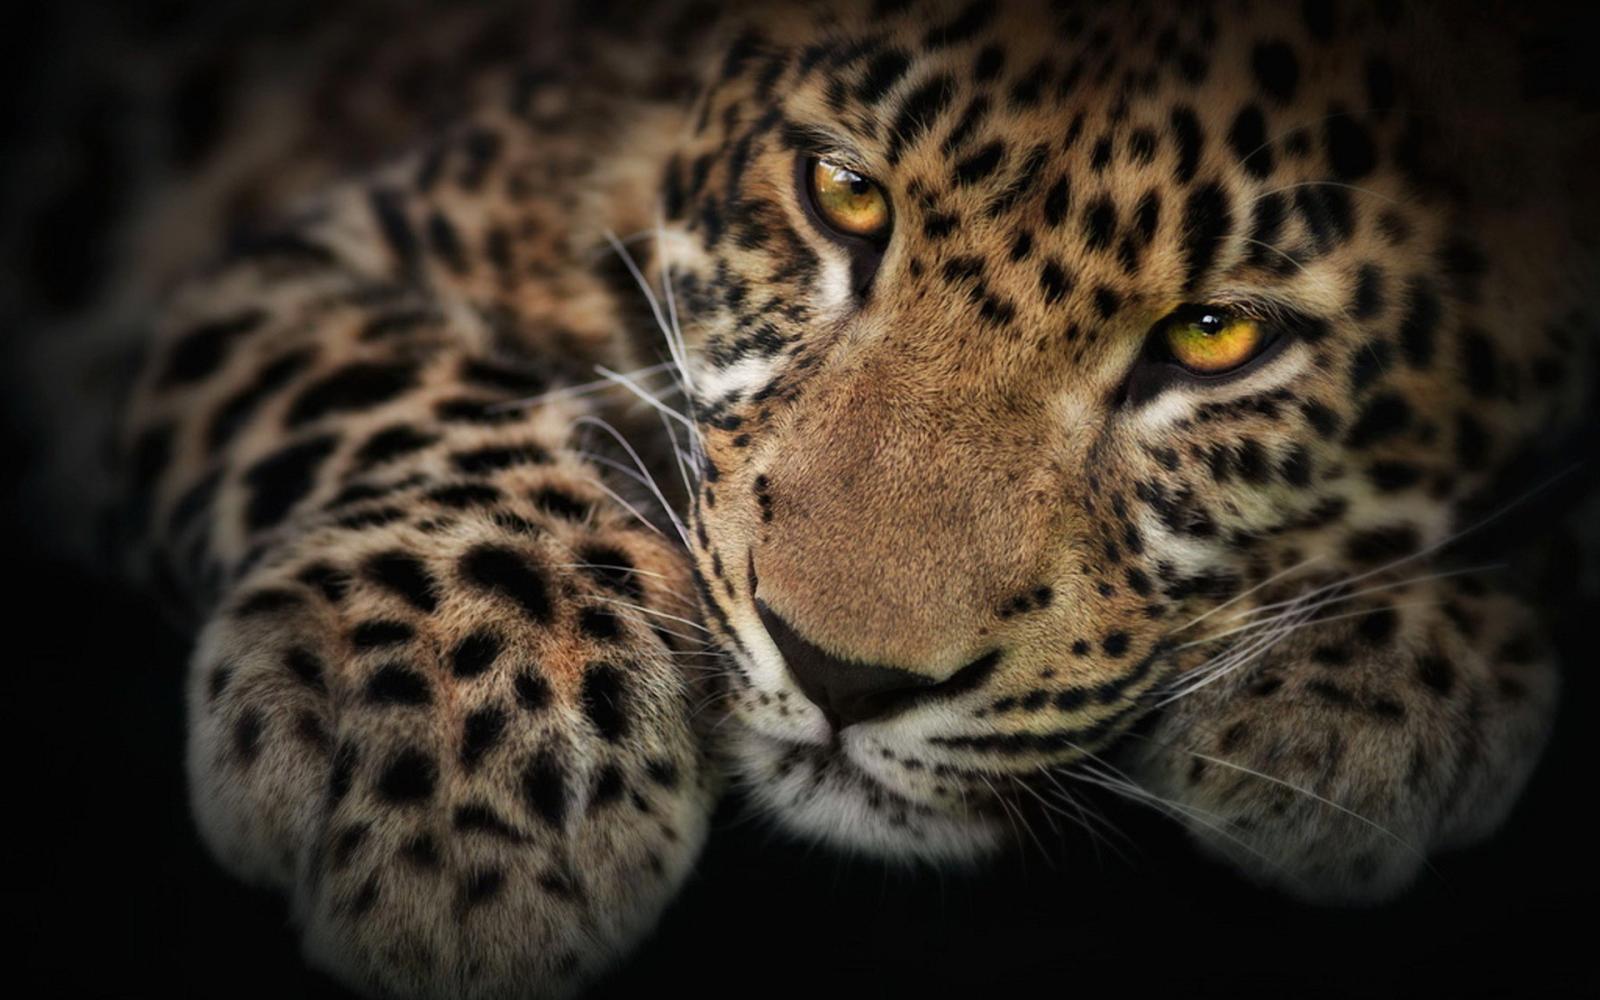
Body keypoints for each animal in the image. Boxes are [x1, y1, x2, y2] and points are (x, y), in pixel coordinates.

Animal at [8, 1, 1597, 997]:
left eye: (1216, 335)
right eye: (842, 194)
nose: (842, 678)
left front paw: (1371, 686)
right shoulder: (287, 270)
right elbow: (404, 387)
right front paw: (467, 786)